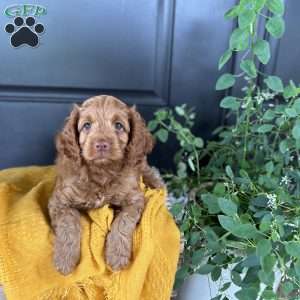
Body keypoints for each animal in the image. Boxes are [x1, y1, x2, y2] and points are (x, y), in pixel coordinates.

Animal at [48, 95, 164, 274]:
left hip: (139, 161)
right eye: (87, 125)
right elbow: (68, 224)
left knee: (147, 169)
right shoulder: (59, 200)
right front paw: (65, 259)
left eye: (118, 125)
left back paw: (157, 183)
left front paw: (116, 255)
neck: (102, 171)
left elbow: (123, 222)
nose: (101, 144)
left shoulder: (134, 198)